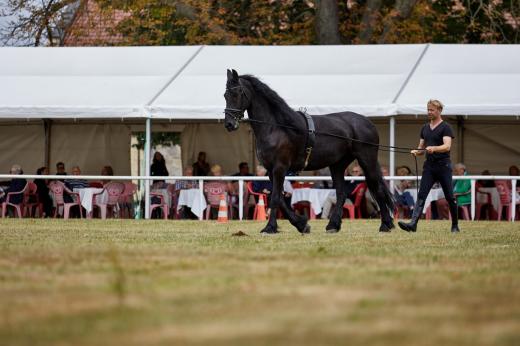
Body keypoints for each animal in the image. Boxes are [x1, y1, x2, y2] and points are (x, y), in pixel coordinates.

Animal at [223, 69, 394, 234]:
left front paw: (270, 228)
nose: (229, 124)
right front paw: (301, 224)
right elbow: (280, 199)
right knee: (341, 193)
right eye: (225, 95)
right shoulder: (271, 170)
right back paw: (333, 225)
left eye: (237, 93)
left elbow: (276, 198)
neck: (276, 127)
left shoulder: (280, 168)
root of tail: (366, 122)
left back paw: (385, 225)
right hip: (338, 165)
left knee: (377, 189)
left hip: (367, 160)